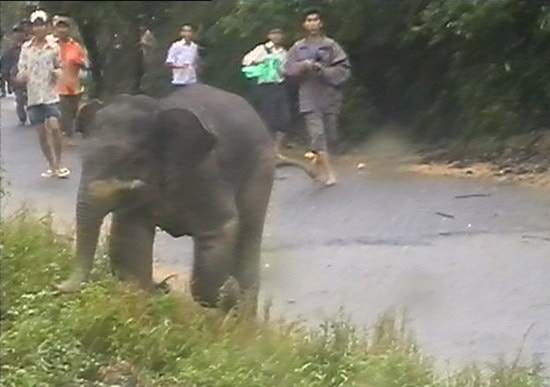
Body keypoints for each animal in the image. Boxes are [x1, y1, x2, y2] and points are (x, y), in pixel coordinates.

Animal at [57, 84, 288, 312]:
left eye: (135, 160)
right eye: (83, 156)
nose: (58, 286)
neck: (159, 108)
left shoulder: (206, 173)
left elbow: (220, 227)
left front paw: (228, 292)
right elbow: (131, 234)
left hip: (261, 169)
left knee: (248, 234)